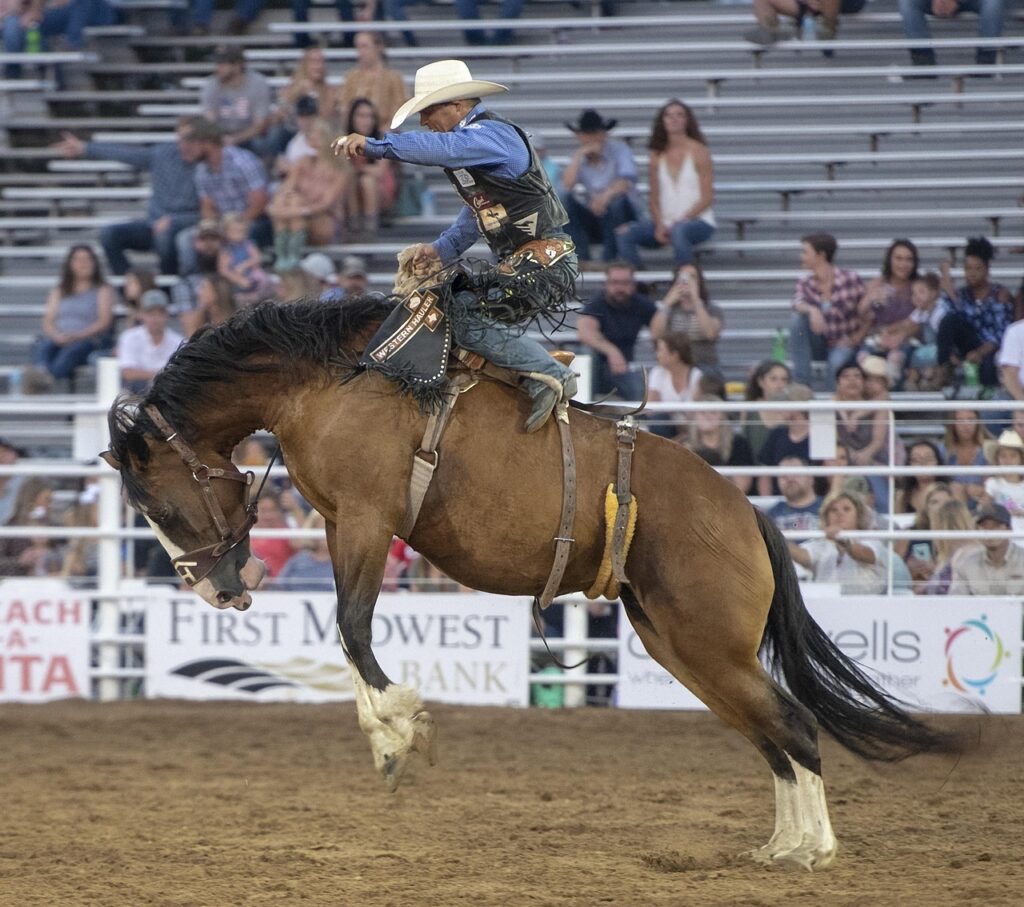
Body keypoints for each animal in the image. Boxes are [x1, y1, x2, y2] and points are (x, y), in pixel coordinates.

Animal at [101, 296, 959, 871]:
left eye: (164, 507)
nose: (214, 591)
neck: (335, 378)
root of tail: (746, 511)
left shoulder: (368, 518)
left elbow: (352, 625)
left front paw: (402, 730)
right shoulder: (345, 523)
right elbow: (346, 632)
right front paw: (387, 738)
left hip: (707, 642)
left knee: (794, 723)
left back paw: (814, 847)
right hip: (684, 645)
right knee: (770, 731)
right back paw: (783, 843)